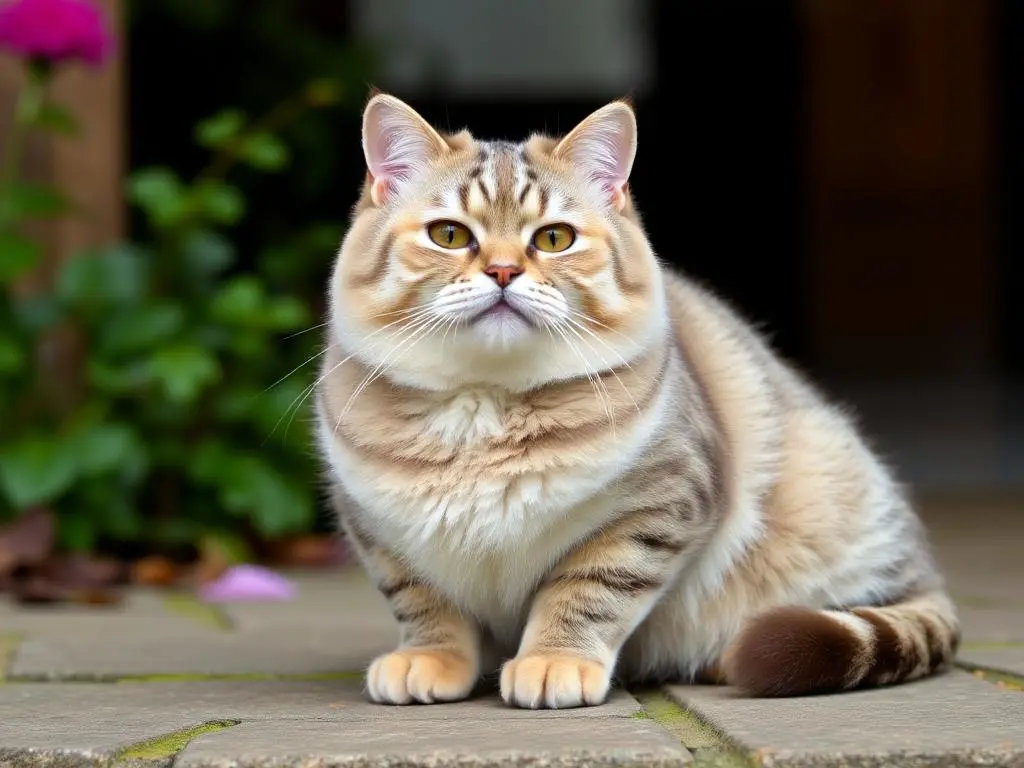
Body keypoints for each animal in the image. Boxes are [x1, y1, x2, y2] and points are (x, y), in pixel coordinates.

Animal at [313, 91, 958, 708]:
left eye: (554, 238)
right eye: (448, 235)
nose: (502, 271)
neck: (486, 401)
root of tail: (929, 574)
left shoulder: (654, 511)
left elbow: (588, 592)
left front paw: (554, 661)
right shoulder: (382, 536)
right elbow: (425, 606)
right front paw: (428, 660)